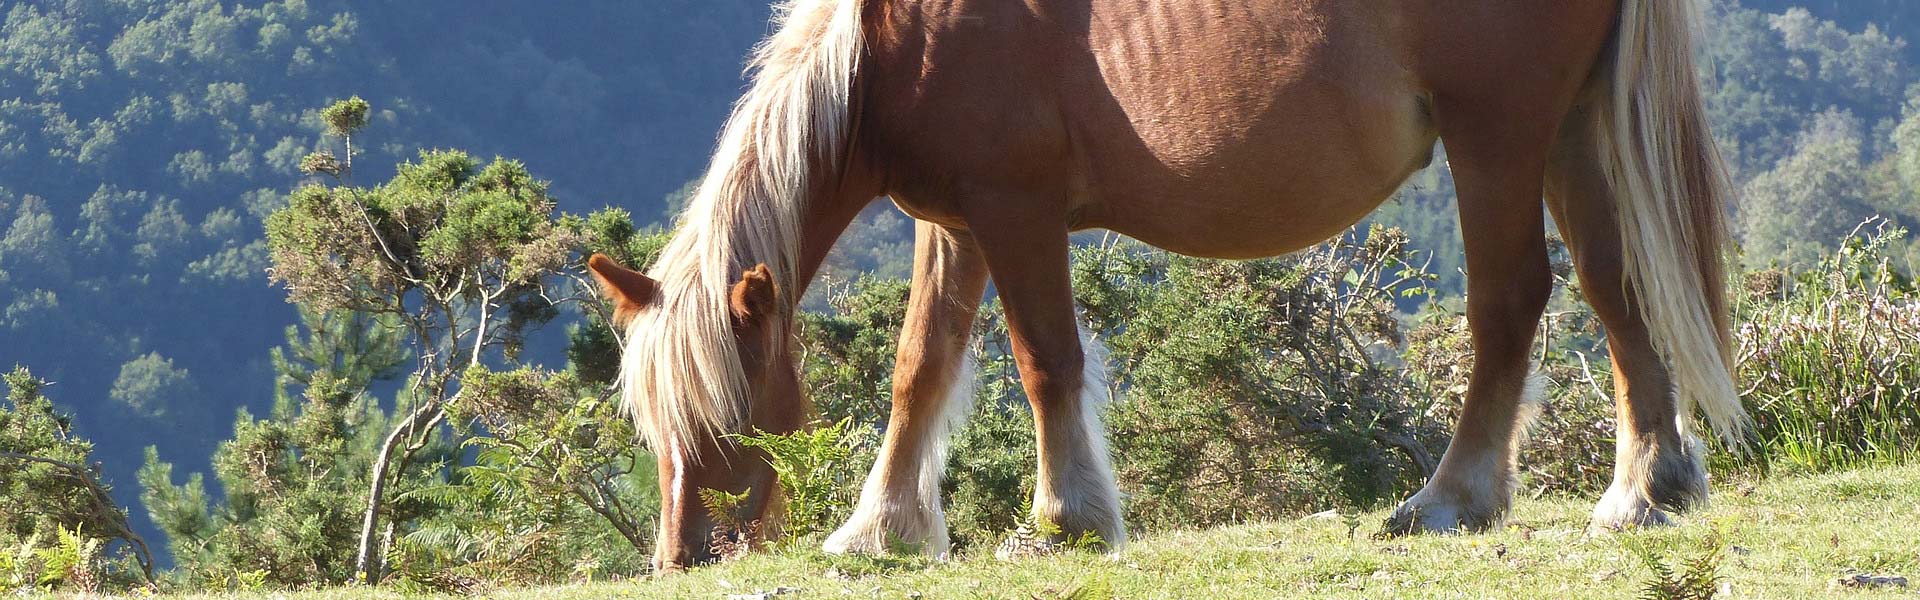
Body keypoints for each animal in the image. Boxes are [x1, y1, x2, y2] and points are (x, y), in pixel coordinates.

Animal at [583, 0, 1743, 569]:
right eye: (651, 423)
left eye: (728, 416)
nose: (683, 556)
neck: (890, 47)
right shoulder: (953, 225)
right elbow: (922, 372)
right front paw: (882, 529)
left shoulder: (1015, 211)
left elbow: (1045, 361)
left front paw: (1066, 518)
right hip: (1568, 131)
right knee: (1616, 288)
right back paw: (1646, 488)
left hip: (1495, 136)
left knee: (1513, 300)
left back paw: (1452, 499)